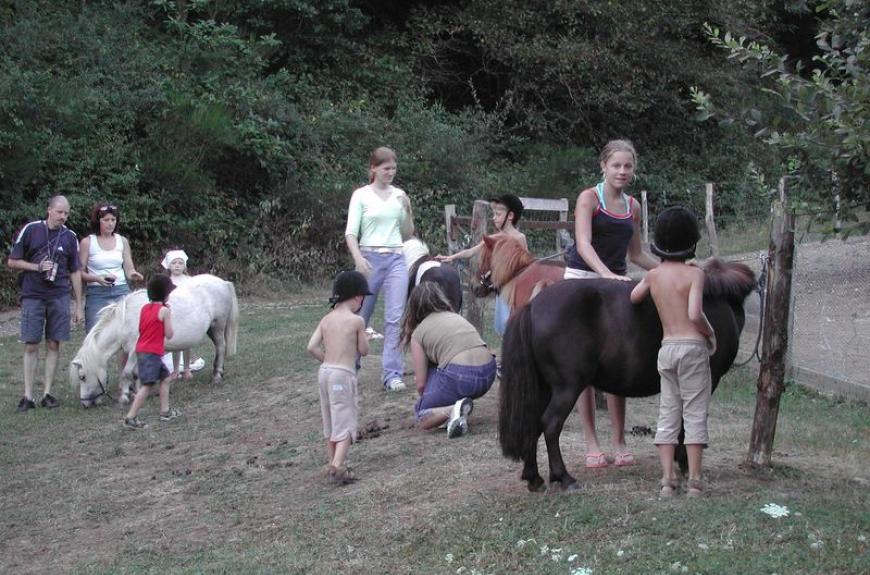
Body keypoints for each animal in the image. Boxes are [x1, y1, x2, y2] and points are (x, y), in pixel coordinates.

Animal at [70, 276, 238, 408]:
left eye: (82, 377)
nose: (85, 403)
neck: (124, 321)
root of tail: (223, 282)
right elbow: (136, 373)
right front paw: (138, 392)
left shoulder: (134, 350)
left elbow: (126, 372)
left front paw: (125, 396)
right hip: (211, 328)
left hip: (218, 325)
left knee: (221, 347)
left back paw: (217, 376)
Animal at [500, 260, 760, 490]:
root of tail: (533, 306)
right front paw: (686, 463)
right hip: (568, 387)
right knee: (551, 424)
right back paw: (564, 478)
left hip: (544, 388)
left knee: (533, 422)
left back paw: (534, 478)